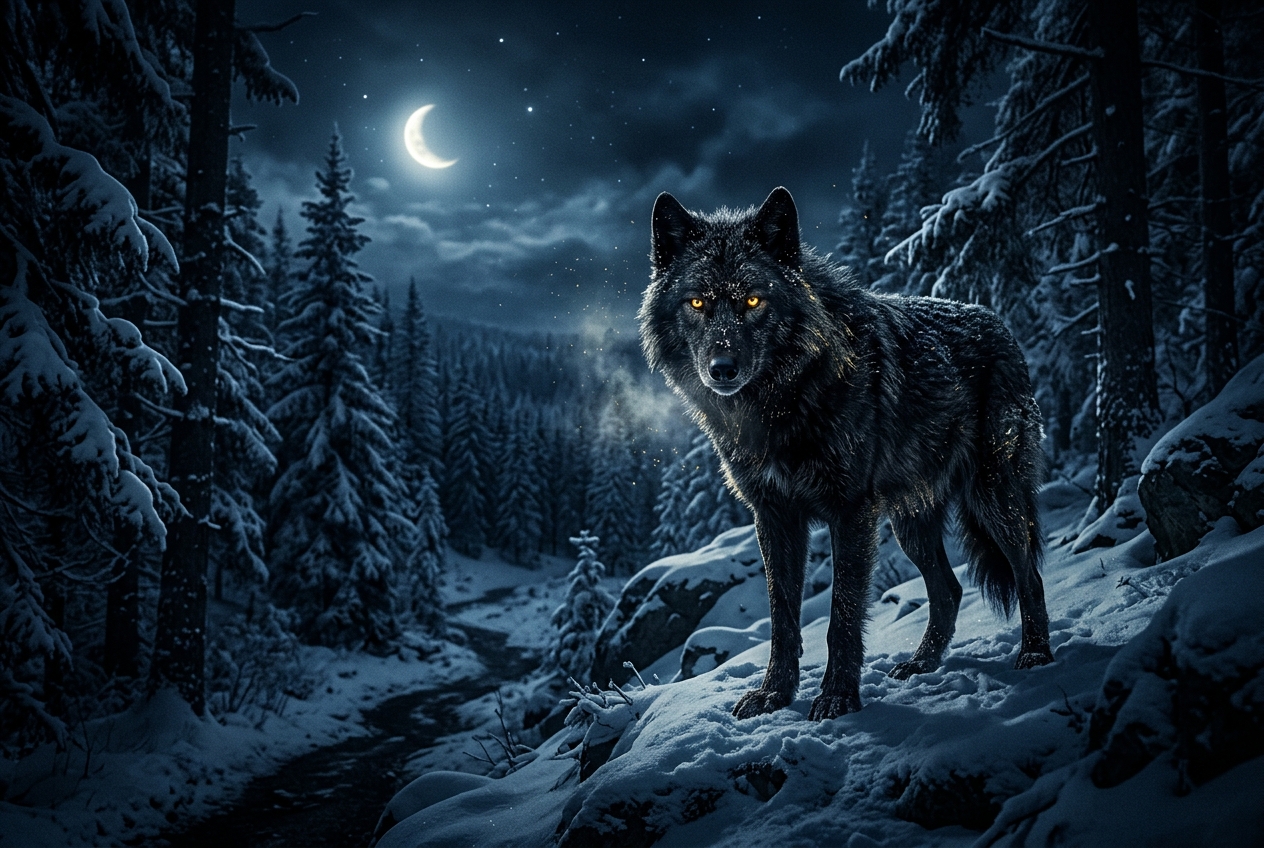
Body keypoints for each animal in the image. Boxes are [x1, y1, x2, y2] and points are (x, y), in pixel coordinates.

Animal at [638, 187, 1053, 721]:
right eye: (697, 302)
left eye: (753, 300)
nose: (722, 368)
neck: (782, 404)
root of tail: (998, 321)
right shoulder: (774, 516)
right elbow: (782, 617)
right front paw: (775, 694)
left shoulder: (850, 511)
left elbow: (842, 615)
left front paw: (837, 696)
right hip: (909, 524)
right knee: (949, 590)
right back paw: (920, 664)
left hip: (991, 497)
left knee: (1028, 572)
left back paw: (1035, 653)